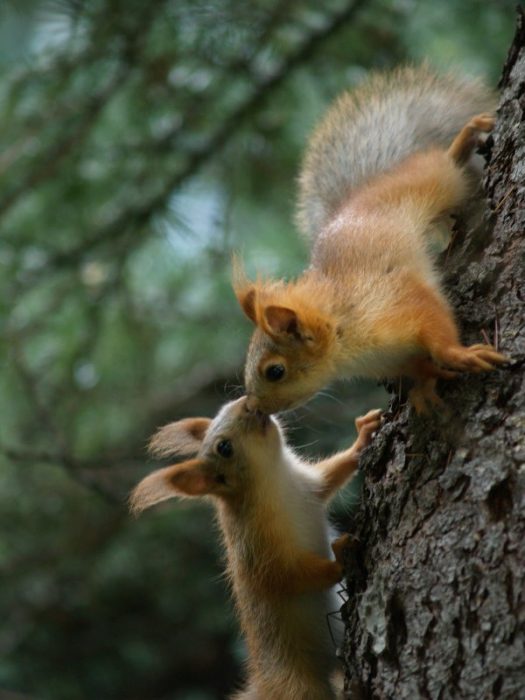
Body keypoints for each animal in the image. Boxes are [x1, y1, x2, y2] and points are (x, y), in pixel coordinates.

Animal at [129, 396, 378, 696]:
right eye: (224, 448)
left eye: (224, 407)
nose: (248, 403)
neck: (275, 478)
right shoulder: (256, 548)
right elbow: (285, 576)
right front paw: (340, 557)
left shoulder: (308, 485)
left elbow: (330, 476)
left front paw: (363, 436)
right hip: (298, 686)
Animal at [233, 64, 508, 416]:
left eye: (275, 371)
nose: (252, 408)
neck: (343, 331)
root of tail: (362, 191)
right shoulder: (391, 361)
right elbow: (419, 366)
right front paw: (424, 385)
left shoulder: (397, 303)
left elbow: (434, 321)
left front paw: (458, 355)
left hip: (426, 181)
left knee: (441, 163)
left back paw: (465, 138)